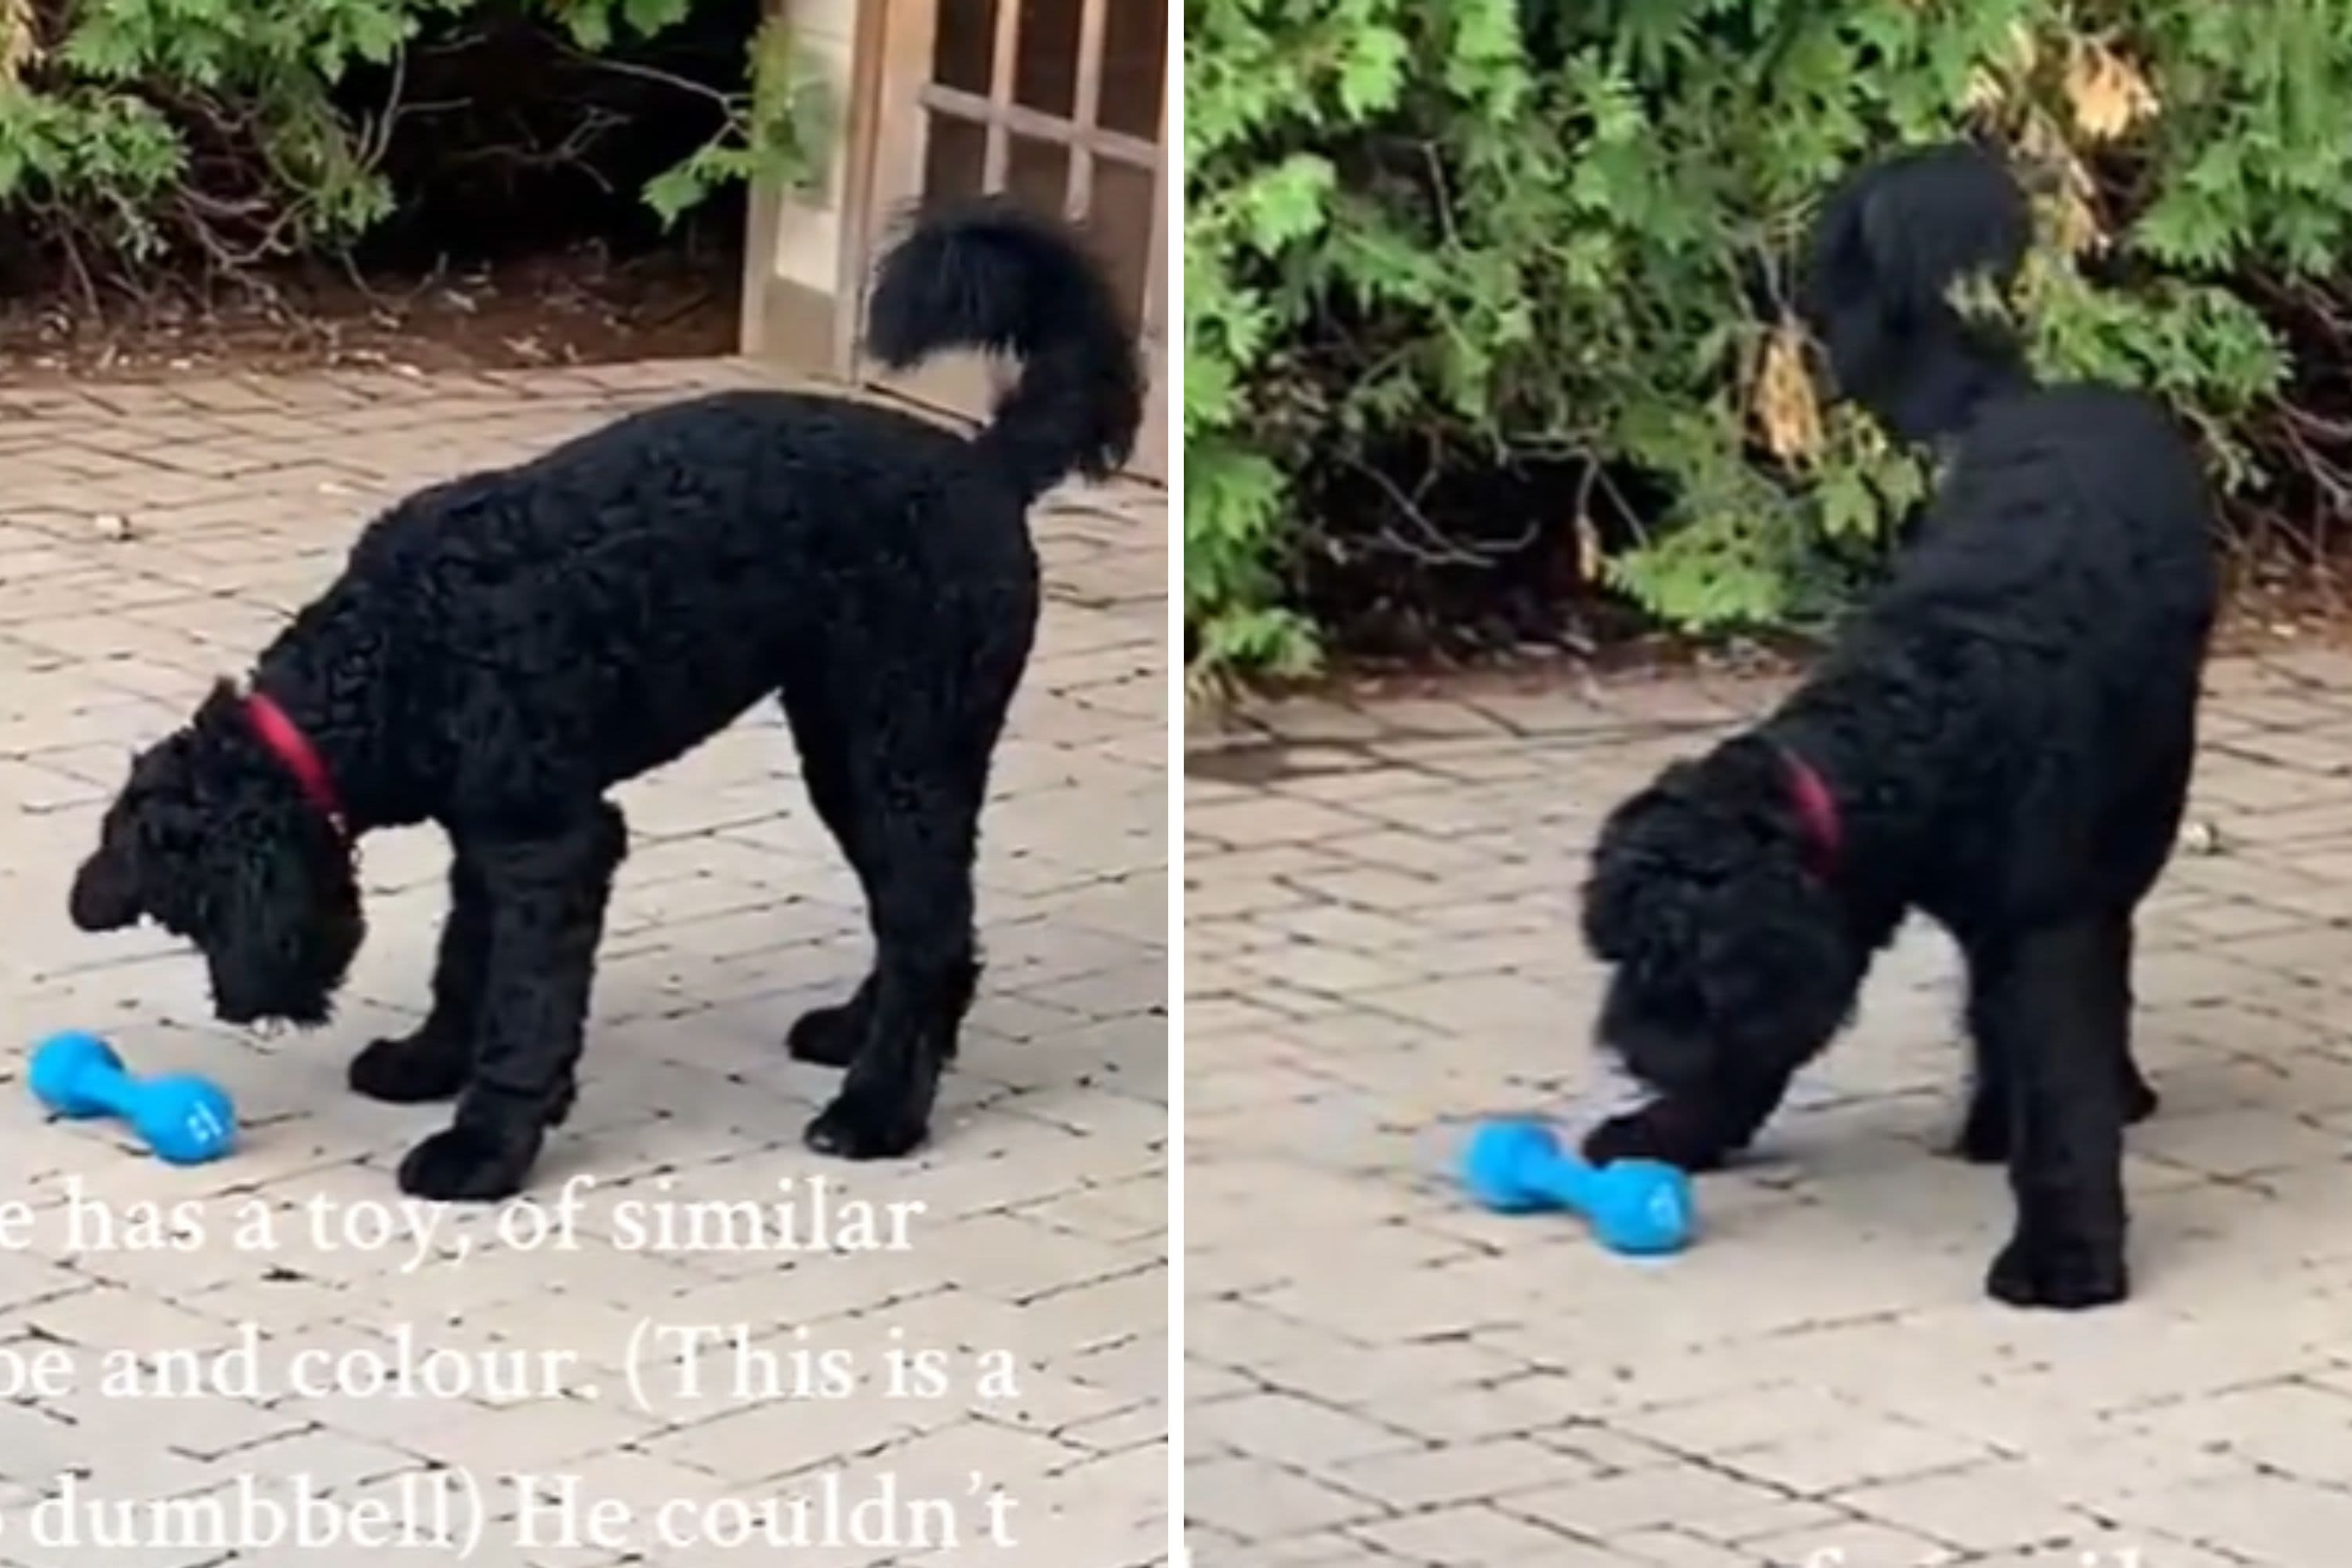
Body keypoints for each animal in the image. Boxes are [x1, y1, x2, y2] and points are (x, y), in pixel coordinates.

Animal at [67, 196, 1148, 1203]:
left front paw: (484, 1145)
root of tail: (985, 467)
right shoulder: (488, 837)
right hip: (848, 750)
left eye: (198, 911)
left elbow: (525, 1004)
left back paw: (877, 1112)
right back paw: (854, 1034)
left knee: (931, 927)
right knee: (918, 913)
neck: (391, 654)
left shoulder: (554, 844)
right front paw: (430, 1060)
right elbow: (466, 959)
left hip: (906, 748)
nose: (241, 1004)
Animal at [1581, 143, 2220, 1316]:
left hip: (2145, 804)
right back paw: (1988, 1121)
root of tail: (2036, 397)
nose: (1633, 1053)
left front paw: (2066, 1253)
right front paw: (1672, 1130)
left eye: (1678, 960)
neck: (1918, 732)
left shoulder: (2046, 921)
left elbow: (2064, 1082)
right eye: (1623, 950)